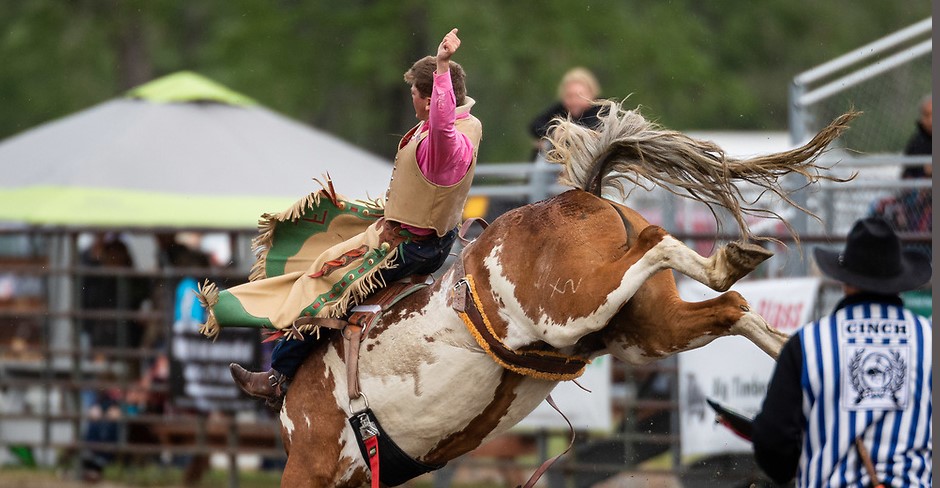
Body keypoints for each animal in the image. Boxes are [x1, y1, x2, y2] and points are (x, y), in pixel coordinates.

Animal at [229, 102, 860, 484]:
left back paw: (731, 263)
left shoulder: (311, 464)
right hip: (644, 333)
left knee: (657, 243)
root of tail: (585, 197)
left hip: (569, 308)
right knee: (730, 308)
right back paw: (779, 334)